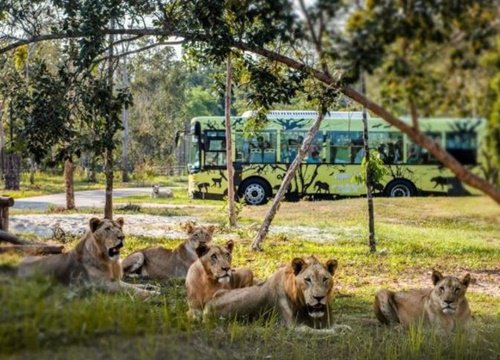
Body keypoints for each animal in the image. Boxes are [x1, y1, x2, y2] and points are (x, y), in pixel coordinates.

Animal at [17, 218, 157, 296]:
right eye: (108, 229)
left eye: (120, 228)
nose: (122, 237)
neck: (109, 262)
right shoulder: (103, 284)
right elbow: (132, 290)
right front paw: (152, 294)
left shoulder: (114, 280)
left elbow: (133, 285)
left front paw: (151, 286)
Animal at [203, 255, 340, 330]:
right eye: (307, 279)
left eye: (325, 279)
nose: (319, 297)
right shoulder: (292, 327)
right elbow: (324, 332)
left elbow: (337, 326)